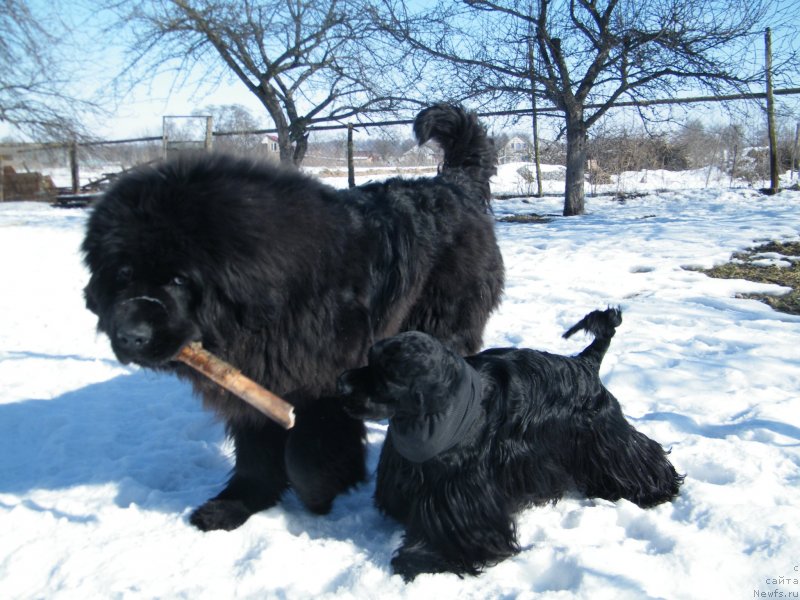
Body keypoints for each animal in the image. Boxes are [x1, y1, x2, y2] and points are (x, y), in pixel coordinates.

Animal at [83, 103, 506, 528]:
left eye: (178, 279)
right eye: (123, 274)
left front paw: (320, 491)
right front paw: (237, 503)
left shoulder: (320, 377)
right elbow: (255, 451)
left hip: (443, 319)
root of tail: (454, 185)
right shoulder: (257, 375)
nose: (129, 335)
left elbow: (307, 449)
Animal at [338, 308, 680, 580]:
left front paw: (421, 559)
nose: (342, 384)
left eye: (387, 375)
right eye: (369, 359)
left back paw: (657, 488)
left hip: (605, 432)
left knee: (636, 453)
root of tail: (585, 363)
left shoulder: (458, 486)